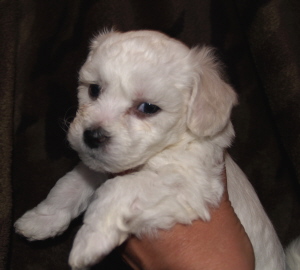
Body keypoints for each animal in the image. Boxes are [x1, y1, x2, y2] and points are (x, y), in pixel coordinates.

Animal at [15, 30, 298, 270]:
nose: (92, 136)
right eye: (94, 89)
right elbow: (70, 185)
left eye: (148, 108)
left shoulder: (190, 184)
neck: (169, 146)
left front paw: (90, 241)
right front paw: (40, 220)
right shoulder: (100, 168)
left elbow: (118, 188)